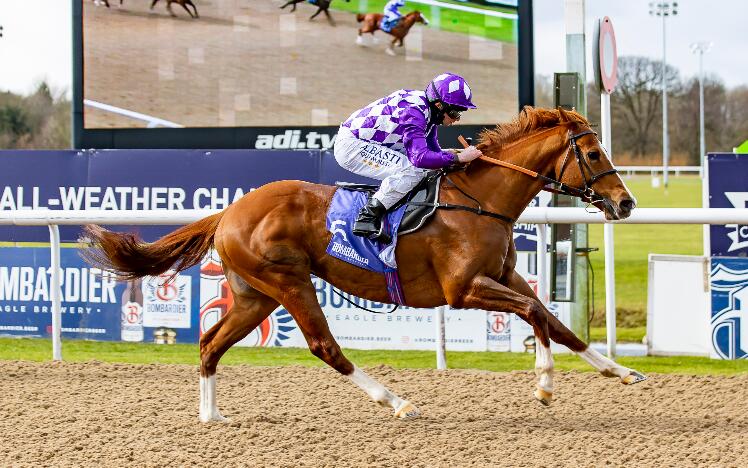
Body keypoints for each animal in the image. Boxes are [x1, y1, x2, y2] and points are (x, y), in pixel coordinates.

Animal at [80, 108, 644, 422]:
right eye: (594, 154)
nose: (626, 203)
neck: (480, 200)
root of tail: (230, 211)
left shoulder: (504, 276)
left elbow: (551, 319)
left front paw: (621, 371)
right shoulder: (463, 289)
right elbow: (532, 314)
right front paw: (545, 384)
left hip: (253, 294)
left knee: (209, 343)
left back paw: (211, 415)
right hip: (289, 282)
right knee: (324, 346)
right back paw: (396, 402)